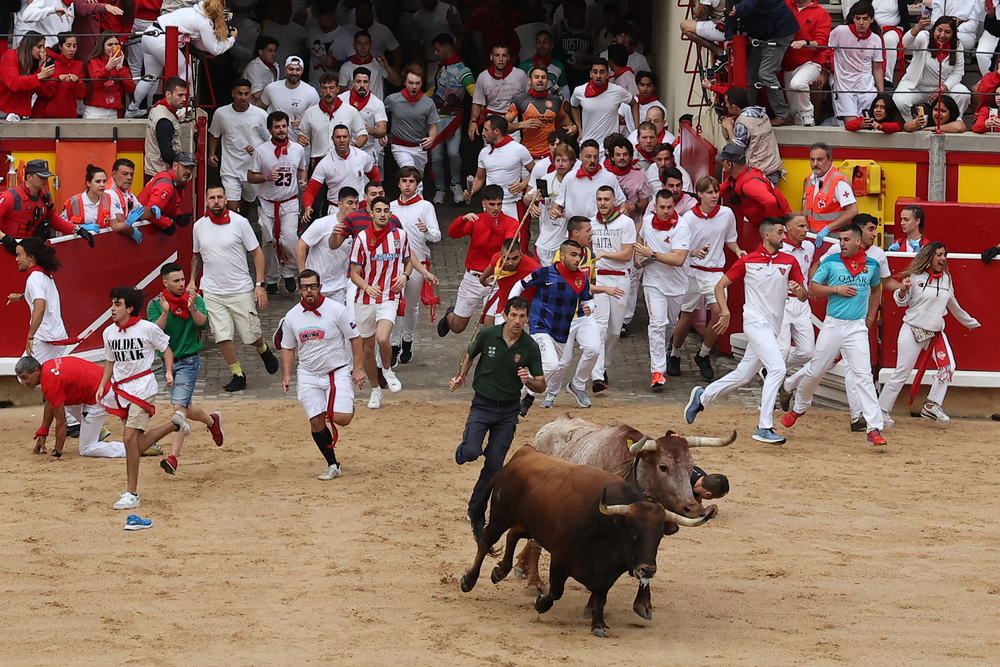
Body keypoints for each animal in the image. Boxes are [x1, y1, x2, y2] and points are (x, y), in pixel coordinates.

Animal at [516, 418, 736, 620]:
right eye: (663, 467)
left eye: (691, 467)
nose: (692, 508)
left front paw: (643, 603)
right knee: (534, 543)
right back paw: (534, 583)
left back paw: (521, 566)